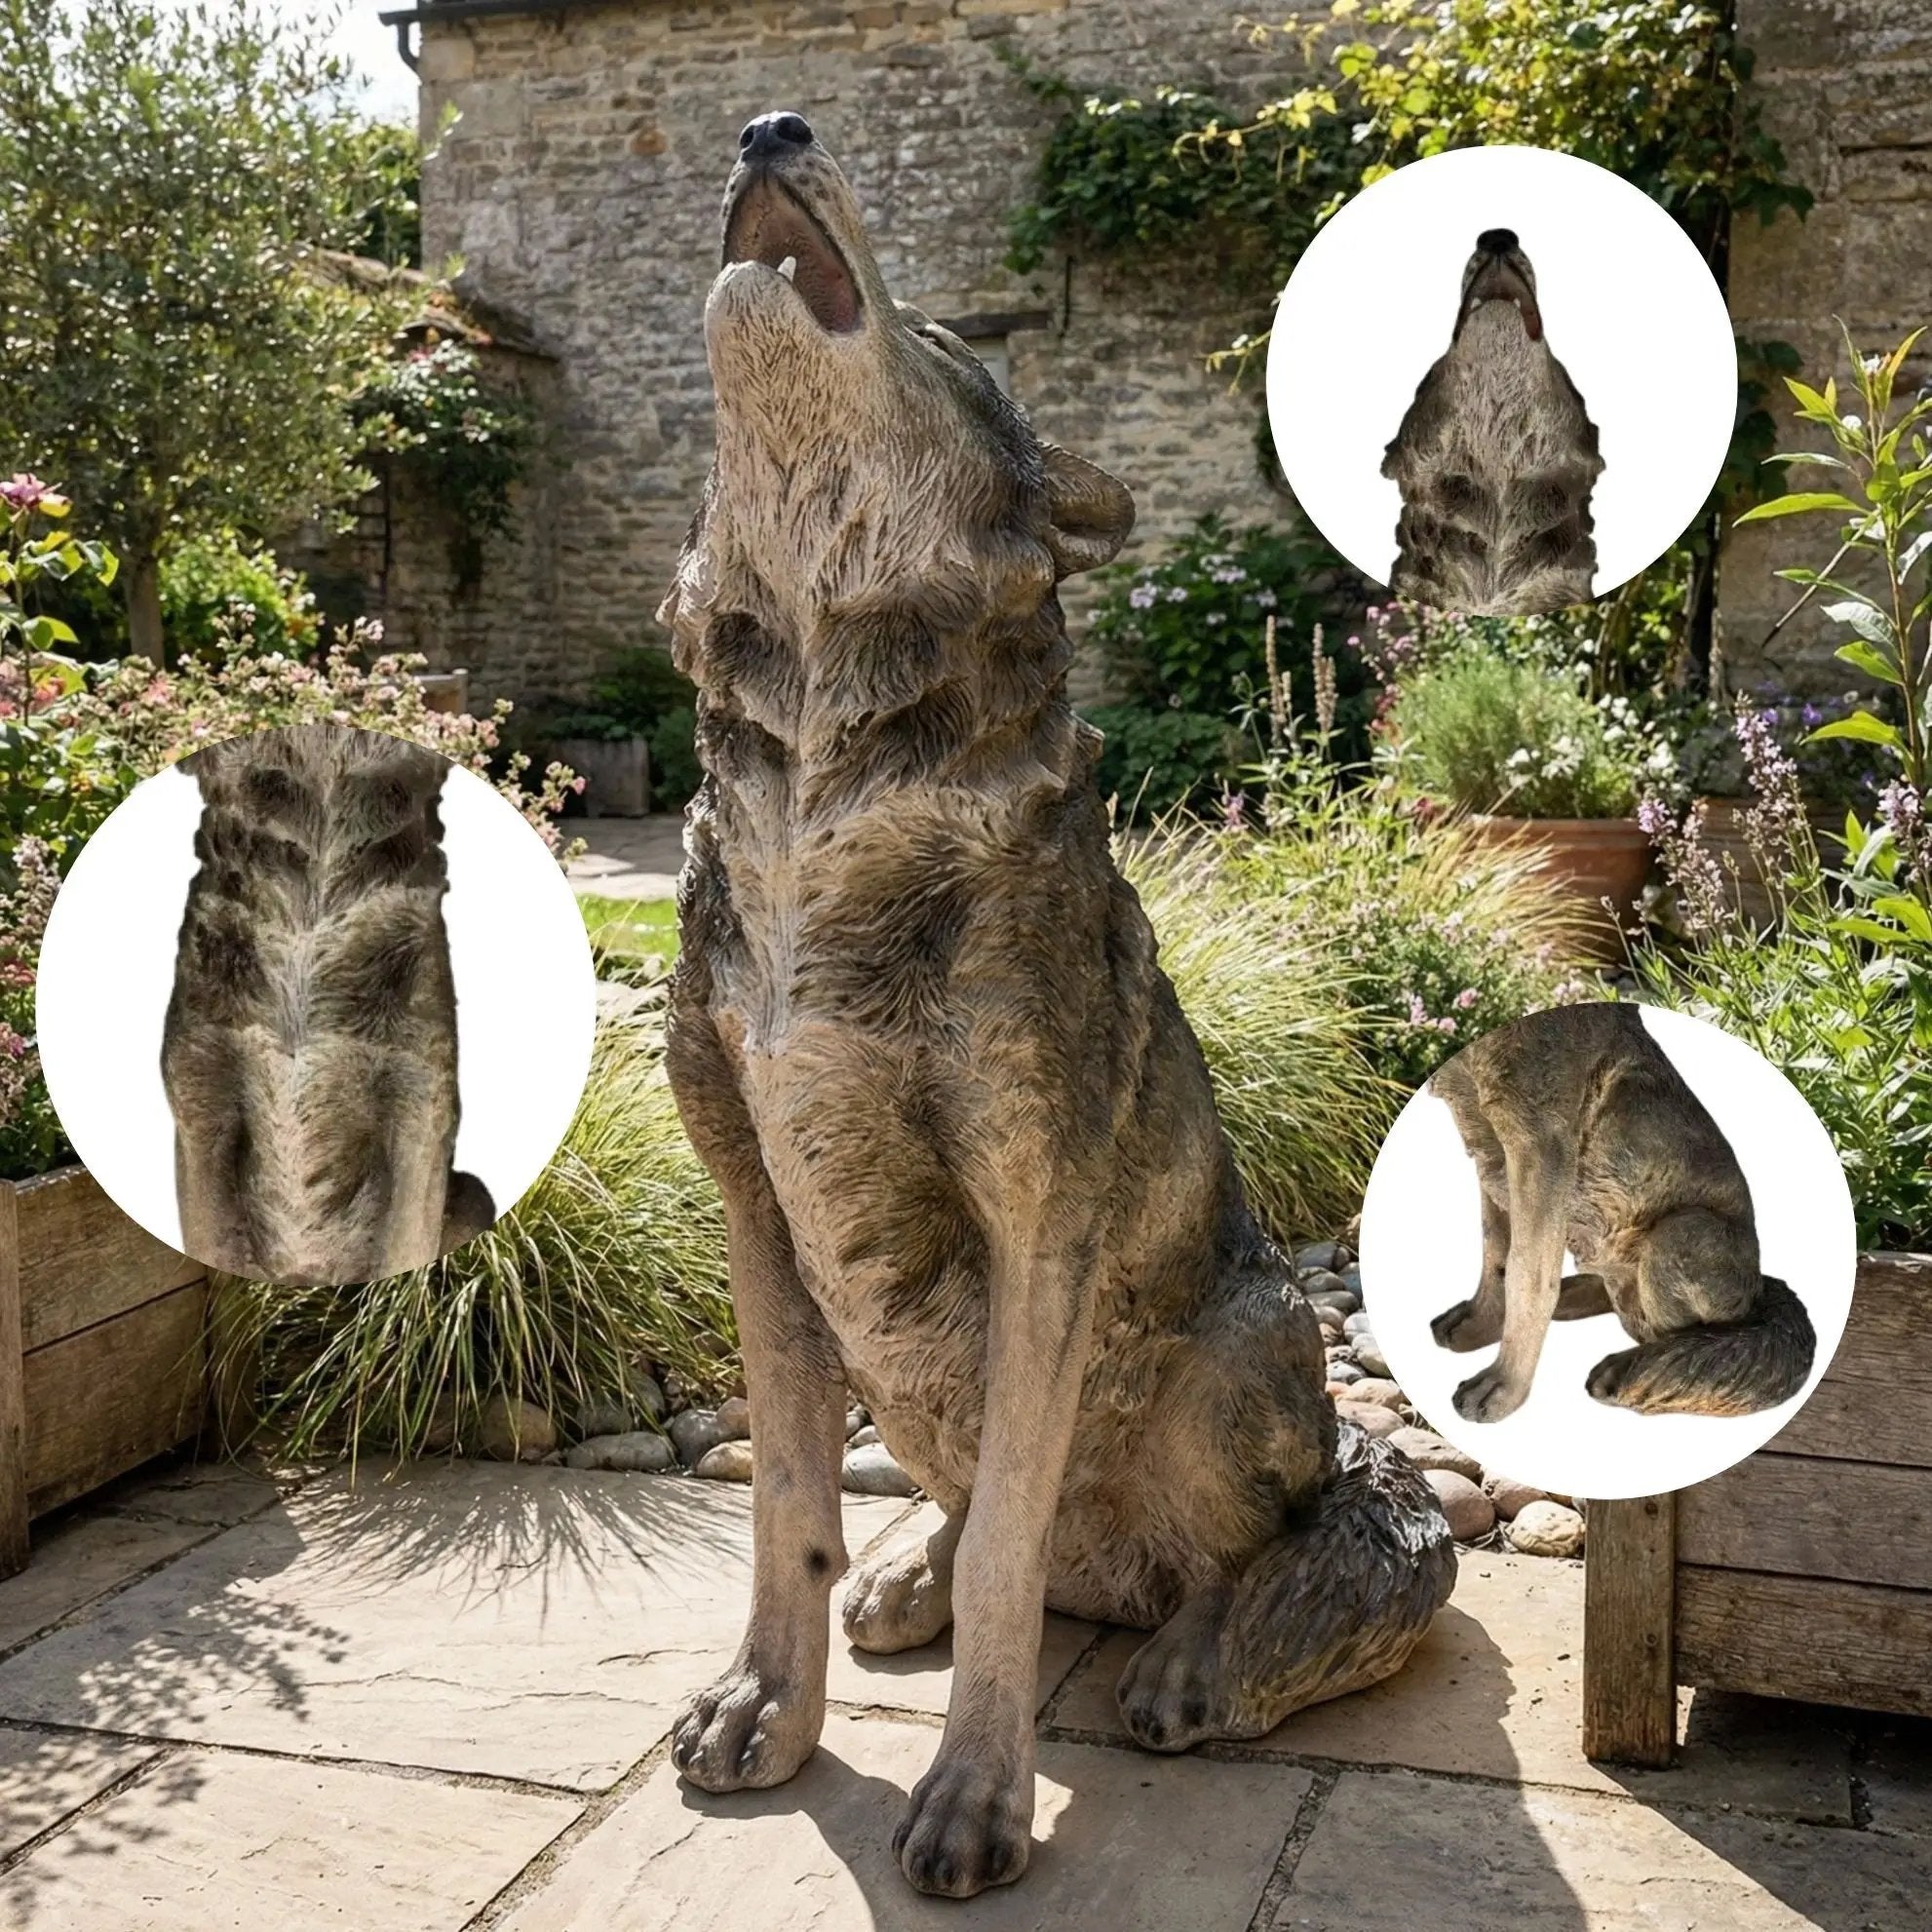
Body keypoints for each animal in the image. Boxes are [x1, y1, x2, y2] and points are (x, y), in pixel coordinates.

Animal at [656, 111, 1457, 1900]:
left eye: (951, 344)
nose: (767, 128)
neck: (822, 780)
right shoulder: (752, 1202)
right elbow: (786, 1502)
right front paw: (766, 1704)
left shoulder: (1039, 1216)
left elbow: (1017, 1535)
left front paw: (974, 1794)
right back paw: (912, 1570)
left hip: (1233, 1351)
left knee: (1323, 1545)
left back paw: (1204, 1652)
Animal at [1428, 1002, 1815, 1422]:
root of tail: (1759, 1291)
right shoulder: (1488, 1147)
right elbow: (1495, 1252)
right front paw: (1482, 1324)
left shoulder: (1540, 1145)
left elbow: (1527, 1276)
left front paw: (1504, 1386)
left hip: (1684, 1232)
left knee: (1677, 1335)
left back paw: (1629, 1368)